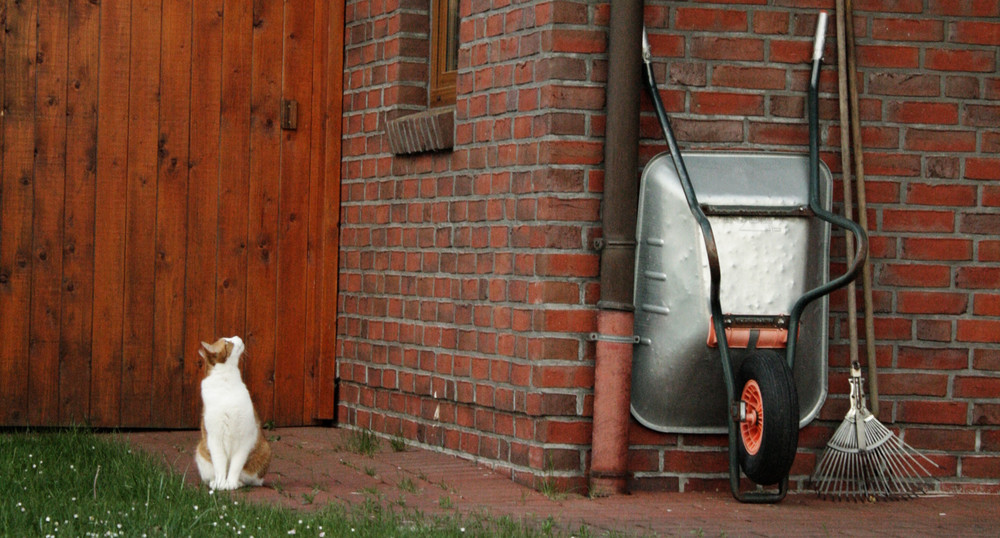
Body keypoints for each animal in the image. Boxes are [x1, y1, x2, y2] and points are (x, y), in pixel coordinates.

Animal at [193, 336, 272, 490]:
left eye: (229, 339)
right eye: (226, 342)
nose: (237, 337)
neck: (226, 383)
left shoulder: (245, 438)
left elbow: (236, 465)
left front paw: (231, 483)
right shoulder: (214, 438)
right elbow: (219, 464)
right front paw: (220, 483)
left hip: (264, 450)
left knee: (251, 479)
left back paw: (239, 482)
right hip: (201, 451)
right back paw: (214, 482)